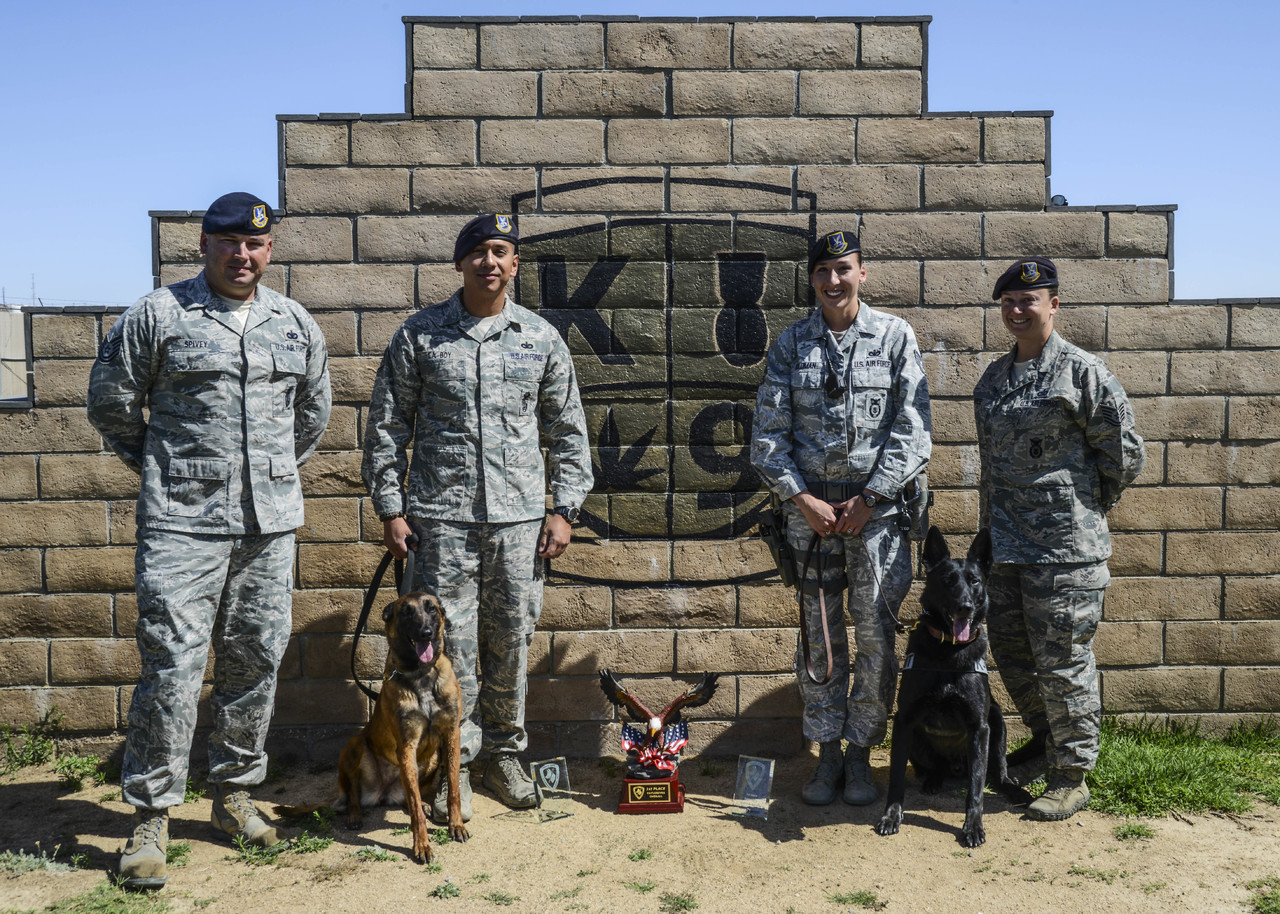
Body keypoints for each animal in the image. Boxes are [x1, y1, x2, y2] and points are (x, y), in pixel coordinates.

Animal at [335, 586, 471, 860]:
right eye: (406, 613)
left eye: (431, 609)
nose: (425, 632)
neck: (422, 673)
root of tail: (383, 792)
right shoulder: (406, 746)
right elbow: (416, 812)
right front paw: (422, 845)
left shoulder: (451, 734)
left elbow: (453, 788)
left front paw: (456, 825)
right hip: (355, 745)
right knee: (355, 792)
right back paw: (354, 815)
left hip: (430, 759)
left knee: (412, 796)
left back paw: (423, 804)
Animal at [880, 527, 1029, 844]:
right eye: (947, 580)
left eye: (974, 581)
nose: (965, 607)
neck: (948, 651)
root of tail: (955, 768)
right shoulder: (904, 721)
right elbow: (896, 777)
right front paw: (891, 816)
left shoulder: (979, 727)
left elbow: (975, 789)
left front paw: (973, 826)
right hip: (919, 742)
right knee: (935, 768)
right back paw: (934, 780)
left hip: (997, 722)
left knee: (996, 773)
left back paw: (1013, 788)